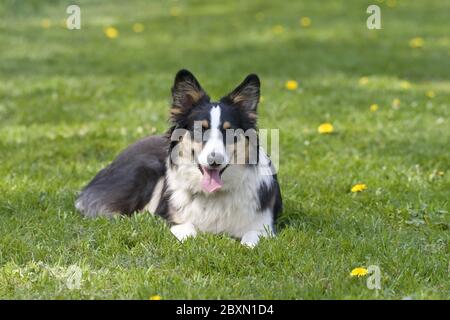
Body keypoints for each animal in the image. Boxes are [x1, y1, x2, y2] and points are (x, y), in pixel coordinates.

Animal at [76, 69, 284, 248]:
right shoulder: (173, 219)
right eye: (199, 129)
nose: (214, 160)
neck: (213, 195)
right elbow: (188, 229)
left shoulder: (264, 226)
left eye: (229, 131)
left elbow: (251, 238)